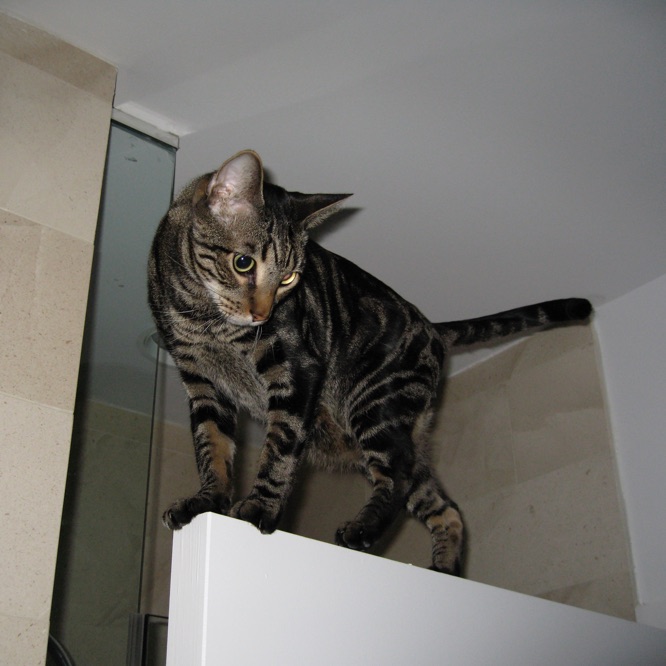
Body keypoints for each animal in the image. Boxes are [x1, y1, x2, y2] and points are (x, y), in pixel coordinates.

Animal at [148, 149, 588, 572]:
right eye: (244, 263)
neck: (201, 317)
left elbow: (278, 449)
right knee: (445, 506)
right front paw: (208, 501)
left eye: (288, 279)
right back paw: (444, 568)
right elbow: (212, 447)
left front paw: (257, 509)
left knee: (398, 474)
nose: (263, 315)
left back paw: (362, 531)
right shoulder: (201, 382)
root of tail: (433, 327)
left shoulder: (296, 370)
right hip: (392, 427)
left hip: (376, 406)